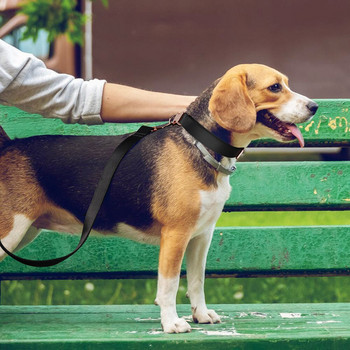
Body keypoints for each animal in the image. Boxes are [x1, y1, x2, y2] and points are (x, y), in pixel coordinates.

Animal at [0, 64, 318, 332]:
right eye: (275, 87)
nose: (314, 106)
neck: (202, 145)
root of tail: (7, 146)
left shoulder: (201, 236)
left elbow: (197, 281)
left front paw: (201, 314)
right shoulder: (176, 235)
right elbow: (169, 285)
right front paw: (172, 323)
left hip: (25, 231)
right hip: (11, 231)